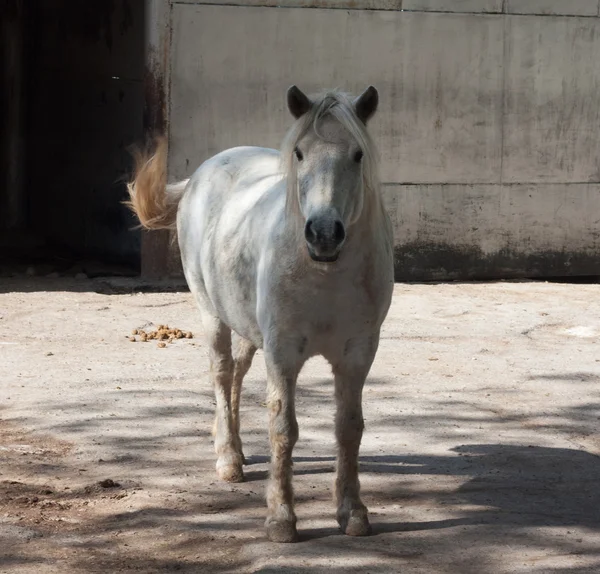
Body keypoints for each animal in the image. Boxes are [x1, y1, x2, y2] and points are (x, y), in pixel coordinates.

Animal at [126, 85, 394, 544]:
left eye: (358, 154)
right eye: (300, 153)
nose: (324, 234)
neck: (324, 272)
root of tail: (203, 173)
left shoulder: (358, 353)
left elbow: (349, 428)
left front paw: (353, 512)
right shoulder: (282, 352)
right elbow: (283, 428)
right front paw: (281, 518)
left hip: (249, 331)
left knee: (236, 372)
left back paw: (230, 442)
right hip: (212, 314)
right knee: (220, 372)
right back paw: (228, 459)